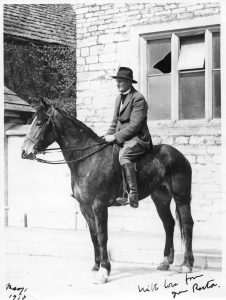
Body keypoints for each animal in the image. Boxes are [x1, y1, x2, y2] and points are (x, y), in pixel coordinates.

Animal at [21, 99, 194, 284]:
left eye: (39, 123)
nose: (24, 152)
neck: (88, 158)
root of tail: (179, 155)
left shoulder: (99, 206)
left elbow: (102, 236)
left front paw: (104, 271)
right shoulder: (85, 207)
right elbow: (94, 236)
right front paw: (95, 268)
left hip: (181, 197)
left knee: (187, 224)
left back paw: (187, 264)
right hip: (160, 198)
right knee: (169, 224)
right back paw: (165, 261)